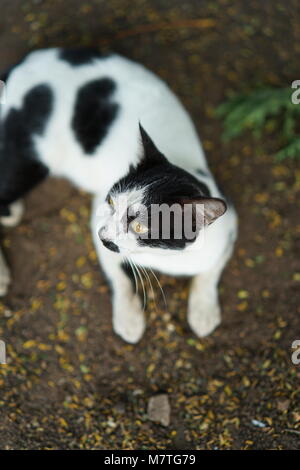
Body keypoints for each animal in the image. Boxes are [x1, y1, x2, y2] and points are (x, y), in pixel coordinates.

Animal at [1, 47, 238, 344]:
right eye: (112, 202)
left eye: (140, 227)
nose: (104, 236)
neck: (162, 257)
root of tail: (25, 62)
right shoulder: (97, 219)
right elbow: (120, 278)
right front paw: (129, 318)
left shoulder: (228, 229)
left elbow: (209, 272)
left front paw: (203, 312)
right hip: (28, 159)